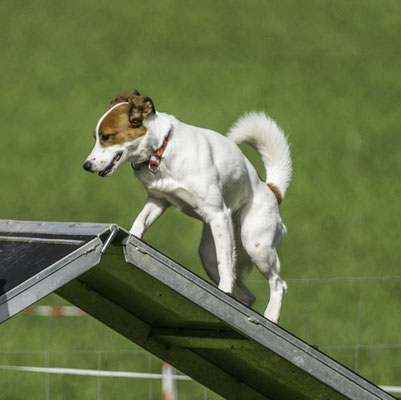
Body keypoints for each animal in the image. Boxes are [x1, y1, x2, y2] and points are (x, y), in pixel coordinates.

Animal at [83, 89, 290, 324]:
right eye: (96, 137)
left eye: (107, 137)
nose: (86, 165)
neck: (160, 151)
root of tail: (271, 189)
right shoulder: (159, 200)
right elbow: (139, 223)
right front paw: (131, 239)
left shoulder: (218, 215)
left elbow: (224, 262)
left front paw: (223, 291)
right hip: (209, 253)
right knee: (247, 294)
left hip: (256, 244)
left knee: (278, 283)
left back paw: (270, 316)